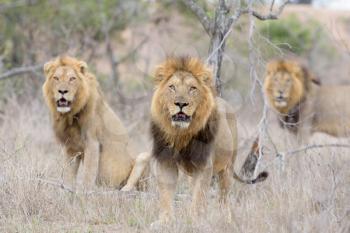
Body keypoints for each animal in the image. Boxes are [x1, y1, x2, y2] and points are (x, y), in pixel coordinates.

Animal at [42, 56, 148, 191]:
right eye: (56, 78)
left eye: (72, 78)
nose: (62, 91)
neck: (70, 115)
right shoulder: (71, 147)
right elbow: (68, 174)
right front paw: (66, 191)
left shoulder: (92, 143)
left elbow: (88, 174)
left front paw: (84, 193)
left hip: (143, 158)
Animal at [150, 56, 268, 224]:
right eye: (172, 87)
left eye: (192, 88)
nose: (181, 104)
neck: (181, 133)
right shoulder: (166, 162)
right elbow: (167, 194)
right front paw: (165, 221)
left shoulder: (204, 165)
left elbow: (199, 197)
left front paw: (194, 221)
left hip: (227, 168)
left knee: (223, 197)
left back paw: (226, 218)